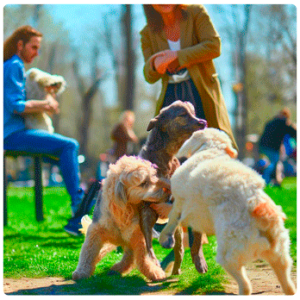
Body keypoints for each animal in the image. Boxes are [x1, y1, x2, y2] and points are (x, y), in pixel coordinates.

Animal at [138, 101, 206, 274]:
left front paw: (200, 261)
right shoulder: (146, 209)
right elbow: (148, 243)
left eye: (193, 112)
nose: (203, 122)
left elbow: (196, 237)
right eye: (183, 114)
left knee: (181, 248)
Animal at [159, 128, 296, 296]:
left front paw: (165, 237)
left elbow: (173, 219)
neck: (212, 150)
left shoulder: (180, 201)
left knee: (246, 285)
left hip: (229, 256)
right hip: (280, 254)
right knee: (287, 283)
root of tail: (260, 211)